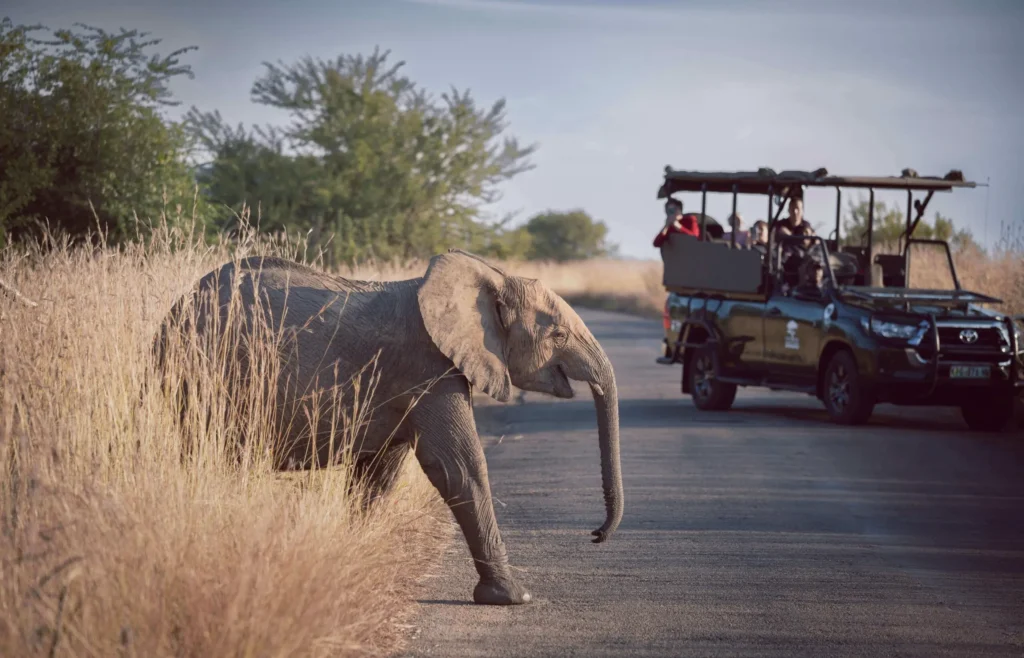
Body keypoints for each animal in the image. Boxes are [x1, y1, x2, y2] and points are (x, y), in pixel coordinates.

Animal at [153, 249, 623, 605]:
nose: (595, 535)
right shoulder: (428, 366)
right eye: (558, 334)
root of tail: (173, 310)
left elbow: (379, 473)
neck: (489, 275)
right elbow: (458, 465)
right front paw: (512, 598)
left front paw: (351, 560)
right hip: (202, 373)